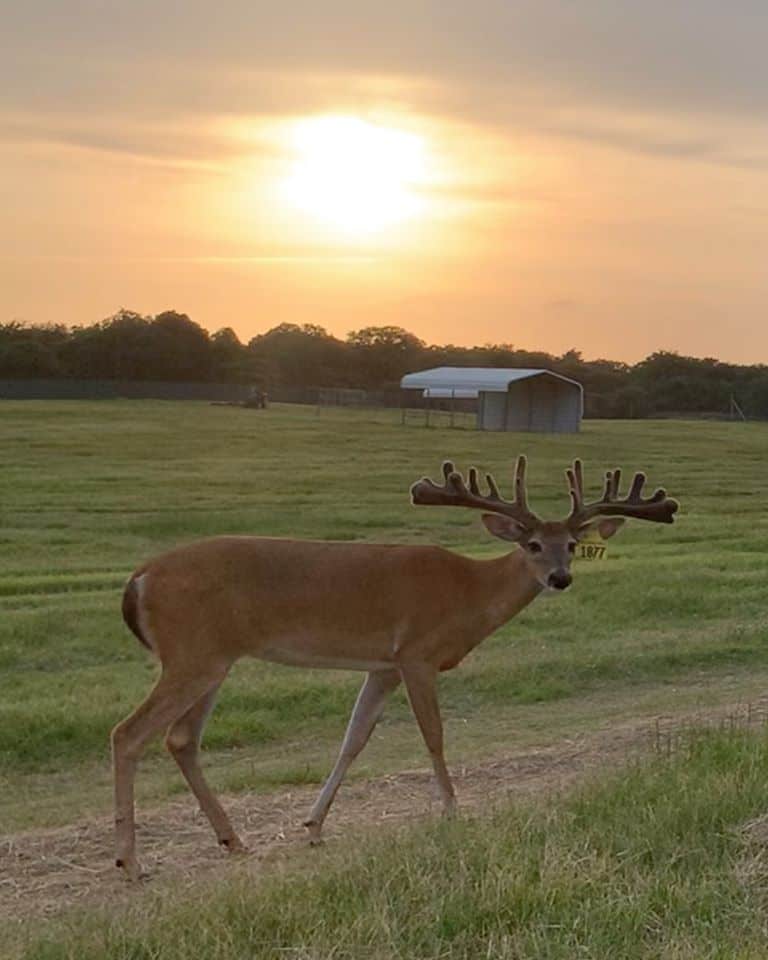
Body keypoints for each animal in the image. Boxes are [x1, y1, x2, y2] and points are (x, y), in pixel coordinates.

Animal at [112, 456, 678, 880]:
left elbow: (353, 739)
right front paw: (452, 811)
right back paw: (131, 861)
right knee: (128, 733)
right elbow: (434, 735)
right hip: (193, 653)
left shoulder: (382, 666)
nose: (560, 578)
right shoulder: (417, 654)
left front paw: (314, 825)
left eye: (573, 546)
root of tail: (139, 577)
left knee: (180, 739)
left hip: (215, 659)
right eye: (533, 544)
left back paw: (232, 840)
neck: (469, 596)